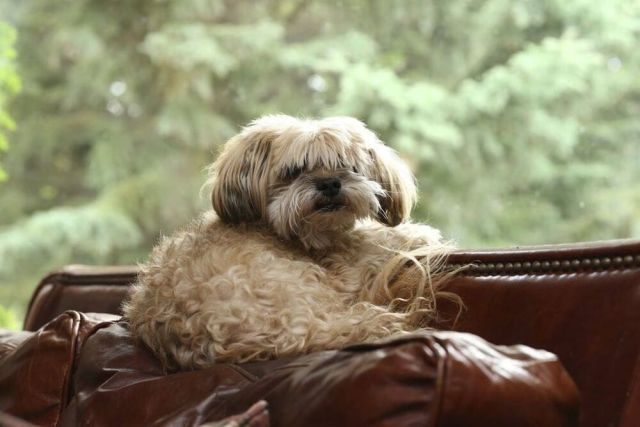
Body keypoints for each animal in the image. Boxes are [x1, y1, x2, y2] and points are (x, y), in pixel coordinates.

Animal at [122, 115, 456, 370]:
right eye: (295, 171)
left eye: (348, 165)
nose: (329, 183)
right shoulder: (344, 267)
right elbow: (380, 242)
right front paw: (419, 235)